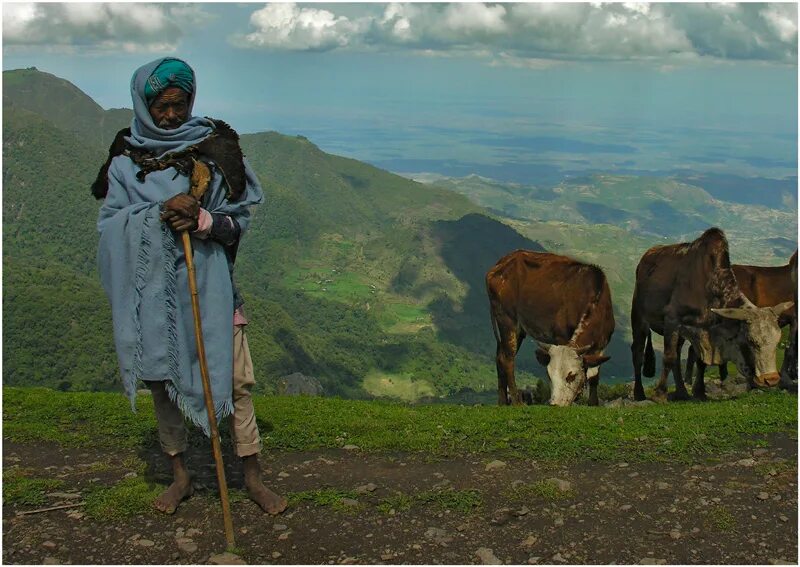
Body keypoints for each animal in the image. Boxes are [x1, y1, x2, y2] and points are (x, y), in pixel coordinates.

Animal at [484, 251, 616, 406]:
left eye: (572, 376)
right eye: (549, 375)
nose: (555, 404)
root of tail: (501, 264)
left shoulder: (602, 344)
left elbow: (595, 375)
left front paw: (593, 403)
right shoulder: (560, 336)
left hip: (517, 329)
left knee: (500, 356)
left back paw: (503, 402)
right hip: (507, 320)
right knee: (507, 359)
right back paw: (517, 402)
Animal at [632, 229, 792, 402]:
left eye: (777, 341)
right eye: (751, 341)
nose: (771, 379)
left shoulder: (702, 331)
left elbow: (700, 361)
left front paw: (699, 392)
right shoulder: (672, 320)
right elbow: (669, 357)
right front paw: (659, 394)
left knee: (677, 357)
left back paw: (682, 392)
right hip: (639, 318)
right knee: (638, 354)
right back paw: (639, 393)